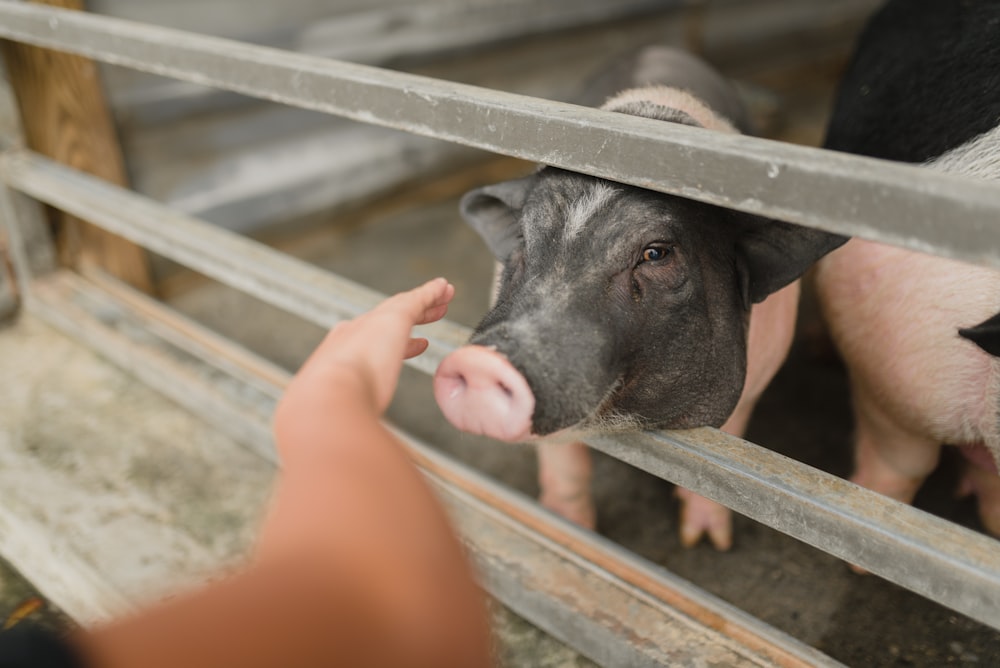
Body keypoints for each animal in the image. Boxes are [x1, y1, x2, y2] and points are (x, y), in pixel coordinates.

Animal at [432, 45, 844, 548]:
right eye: (524, 241)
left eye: (656, 253)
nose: (481, 362)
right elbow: (563, 463)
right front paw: (567, 530)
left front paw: (704, 541)